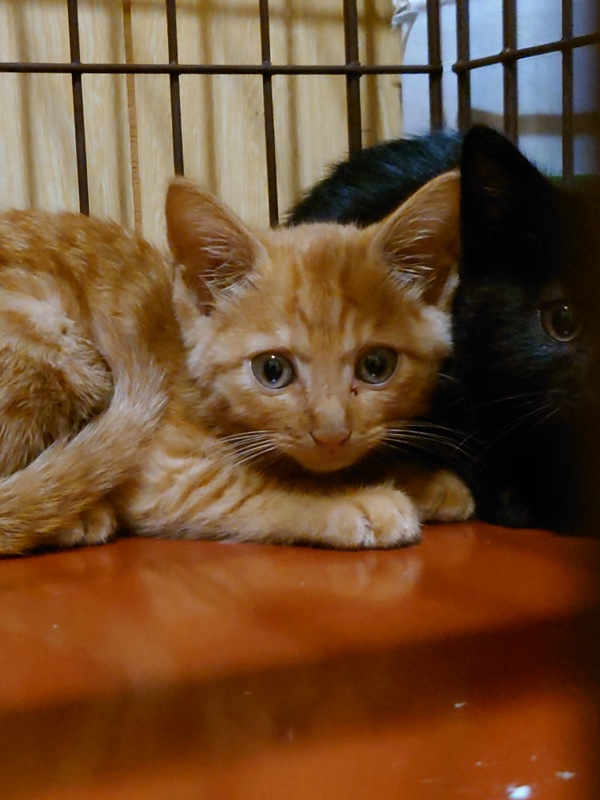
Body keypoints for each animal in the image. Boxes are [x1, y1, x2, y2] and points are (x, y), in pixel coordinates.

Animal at [0, 172, 474, 555]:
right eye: (272, 371)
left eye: (376, 366)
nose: (331, 433)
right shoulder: (167, 474)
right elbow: (249, 487)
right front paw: (352, 499)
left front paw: (422, 480)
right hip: (48, 329)